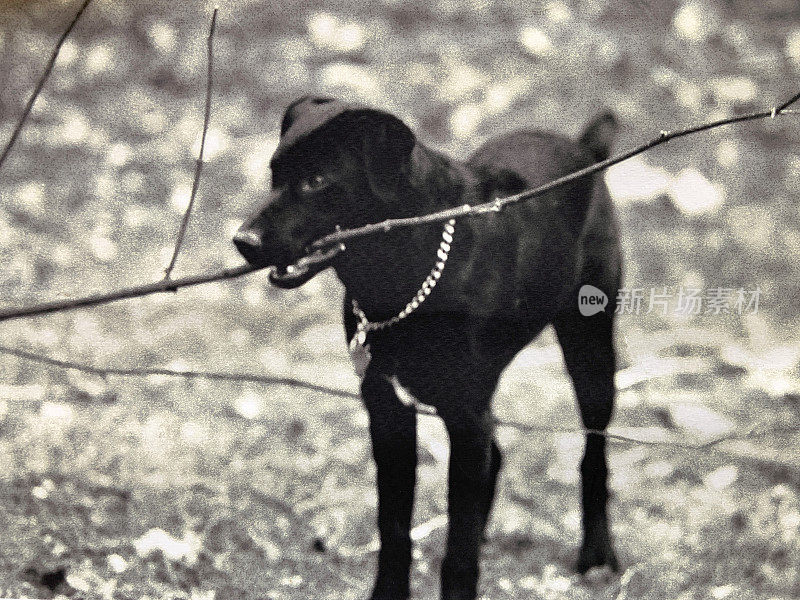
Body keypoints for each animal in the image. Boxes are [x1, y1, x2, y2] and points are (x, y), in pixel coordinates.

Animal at [234, 96, 620, 596]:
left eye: (317, 181)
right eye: (274, 173)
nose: (242, 241)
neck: (405, 269)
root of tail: (585, 148)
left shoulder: (467, 414)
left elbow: (458, 552)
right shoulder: (387, 407)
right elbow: (395, 527)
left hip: (590, 349)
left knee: (594, 454)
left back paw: (597, 554)